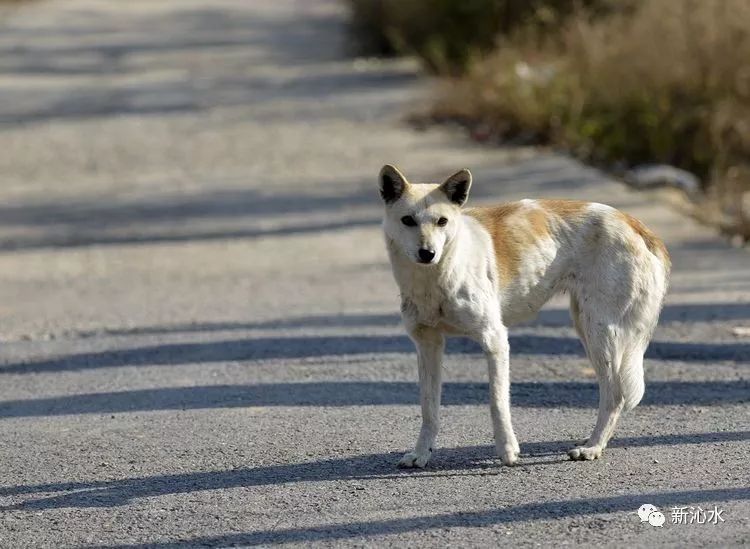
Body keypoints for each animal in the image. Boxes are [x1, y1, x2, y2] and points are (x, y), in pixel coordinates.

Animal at [378, 164, 672, 466]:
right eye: (408, 220)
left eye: (442, 221)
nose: (427, 253)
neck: (434, 278)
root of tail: (634, 224)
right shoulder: (428, 345)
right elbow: (429, 409)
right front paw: (421, 453)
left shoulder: (495, 341)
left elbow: (497, 403)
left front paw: (508, 450)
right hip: (587, 329)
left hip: (600, 333)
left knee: (615, 396)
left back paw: (592, 447)